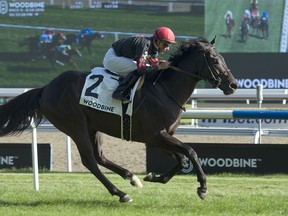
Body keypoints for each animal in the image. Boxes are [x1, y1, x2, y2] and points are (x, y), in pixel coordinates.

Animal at [0, 36, 238, 202]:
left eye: (224, 58)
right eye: (215, 60)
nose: (233, 84)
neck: (165, 90)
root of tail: (46, 89)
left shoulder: (158, 138)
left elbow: (182, 159)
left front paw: (154, 177)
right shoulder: (155, 135)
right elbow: (191, 152)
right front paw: (203, 188)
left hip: (93, 126)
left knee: (99, 156)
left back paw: (130, 177)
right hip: (74, 125)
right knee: (89, 160)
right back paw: (120, 193)